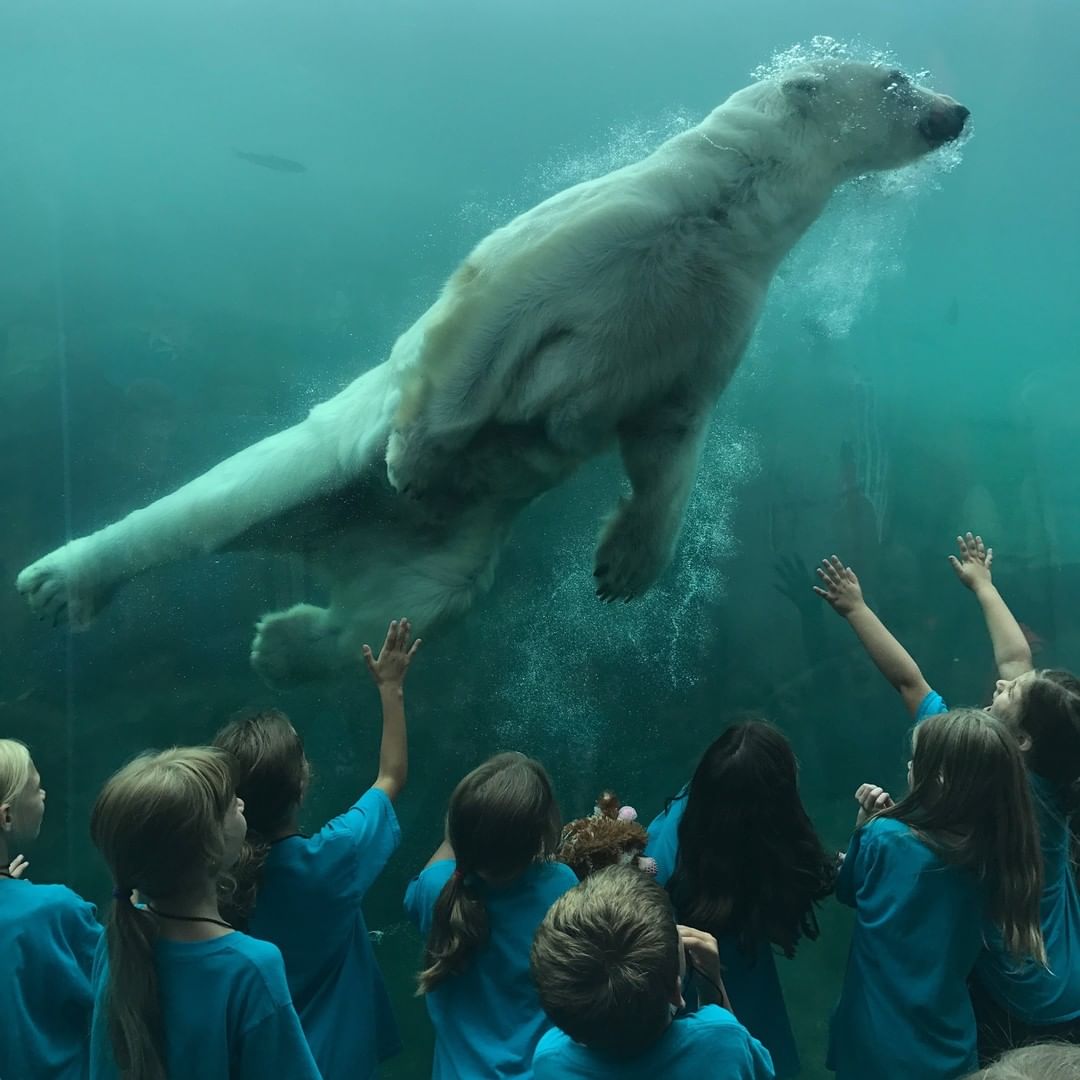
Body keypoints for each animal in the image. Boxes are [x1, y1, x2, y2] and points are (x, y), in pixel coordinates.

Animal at [12, 59, 972, 682]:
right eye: (896, 80)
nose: (959, 110)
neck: (721, 216)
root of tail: (342, 534)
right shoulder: (603, 227)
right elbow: (490, 315)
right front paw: (419, 460)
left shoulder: (716, 312)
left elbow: (672, 434)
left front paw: (626, 567)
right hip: (326, 456)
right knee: (215, 503)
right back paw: (62, 586)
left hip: (459, 547)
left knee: (414, 606)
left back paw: (283, 641)